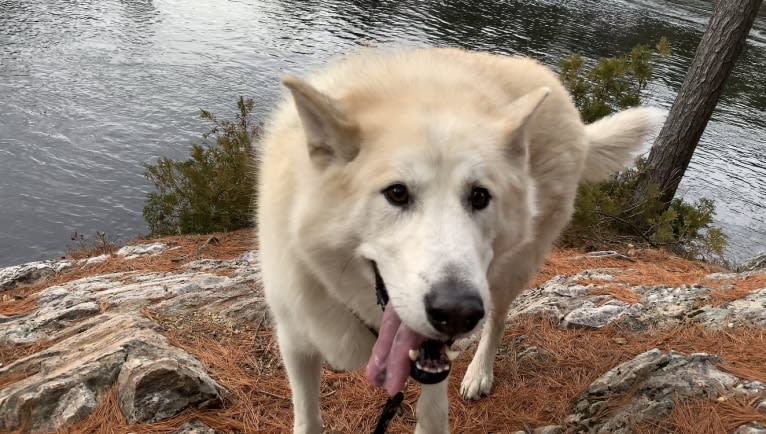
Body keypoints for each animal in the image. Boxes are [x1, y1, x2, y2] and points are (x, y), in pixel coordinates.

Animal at [256, 45, 660, 432]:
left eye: (479, 197)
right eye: (397, 193)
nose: (457, 313)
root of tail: (568, 105)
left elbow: (434, 415)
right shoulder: (295, 342)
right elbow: (308, 419)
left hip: (510, 270)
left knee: (496, 321)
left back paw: (479, 374)